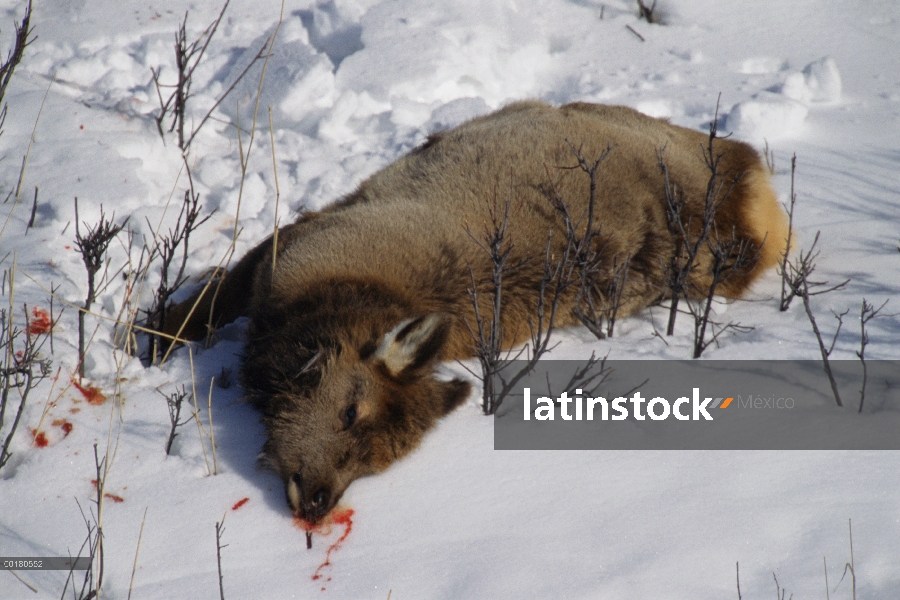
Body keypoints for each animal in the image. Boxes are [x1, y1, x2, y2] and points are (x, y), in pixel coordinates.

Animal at [162, 101, 788, 524]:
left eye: (381, 460)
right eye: (348, 411)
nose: (318, 500)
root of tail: (751, 175)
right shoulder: (294, 241)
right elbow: (201, 306)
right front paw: (148, 339)